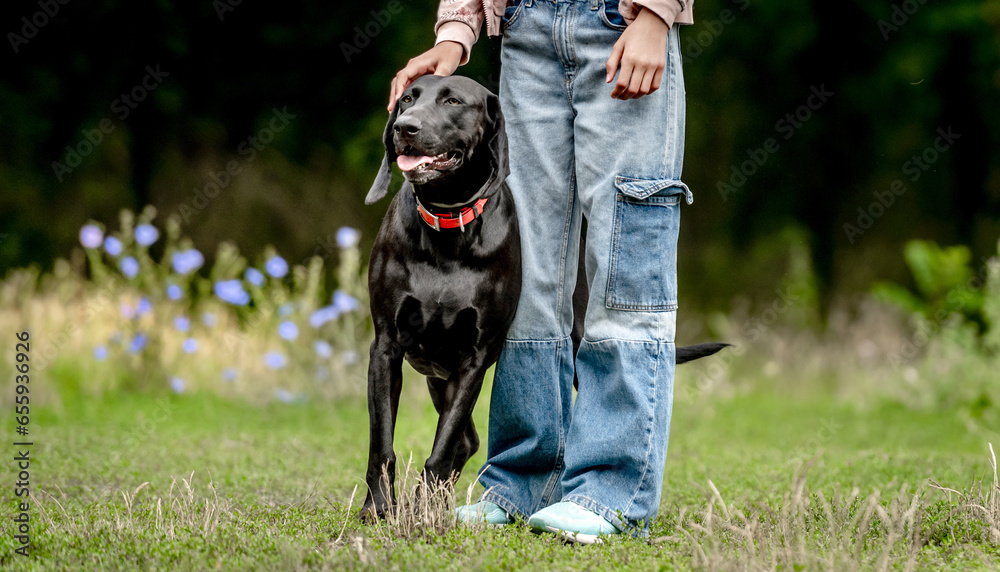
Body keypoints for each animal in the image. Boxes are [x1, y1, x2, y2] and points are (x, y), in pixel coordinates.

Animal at [364, 75, 724, 520]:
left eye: (452, 101)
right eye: (407, 99)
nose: (405, 127)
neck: (447, 227)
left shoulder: (473, 360)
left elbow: (440, 449)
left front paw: (417, 514)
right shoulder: (387, 349)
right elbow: (383, 446)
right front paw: (379, 509)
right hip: (437, 374)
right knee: (466, 442)